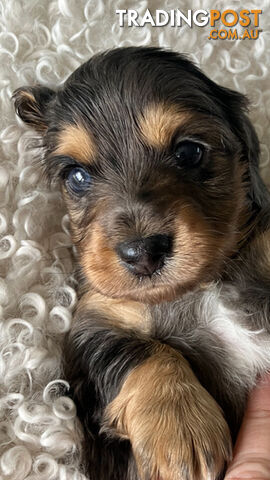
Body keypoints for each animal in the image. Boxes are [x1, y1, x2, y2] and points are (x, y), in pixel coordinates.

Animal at [13, 47, 270, 480]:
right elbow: (143, 351)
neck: (196, 289)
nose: (142, 253)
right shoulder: (93, 323)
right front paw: (181, 430)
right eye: (76, 176)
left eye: (189, 152)